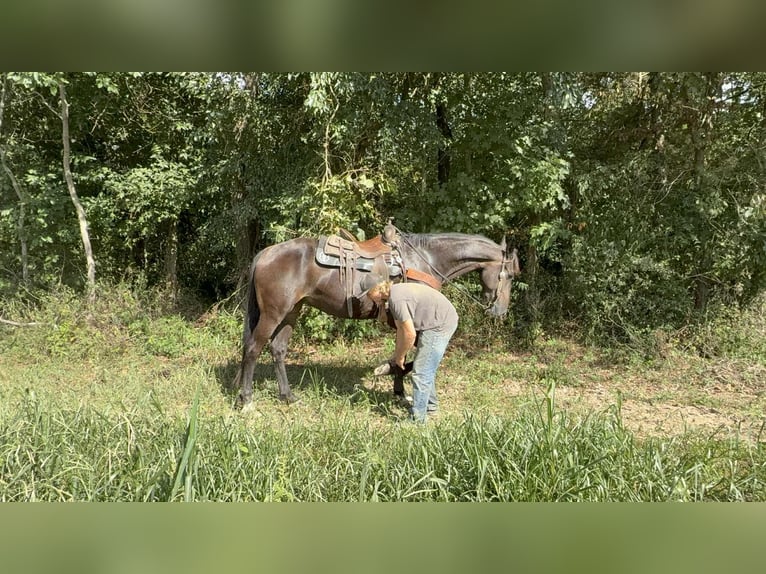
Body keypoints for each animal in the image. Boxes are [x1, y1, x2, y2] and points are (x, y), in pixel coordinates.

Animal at [233, 231, 521, 407]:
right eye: (508, 276)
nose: (500, 311)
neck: (425, 259)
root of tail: (266, 253)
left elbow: (405, 359)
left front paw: (397, 388)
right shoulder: (414, 321)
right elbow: (408, 361)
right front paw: (399, 389)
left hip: (292, 311)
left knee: (278, 349)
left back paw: (288, 396)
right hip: (273, 313)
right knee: (253, 348)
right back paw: (246, 399)